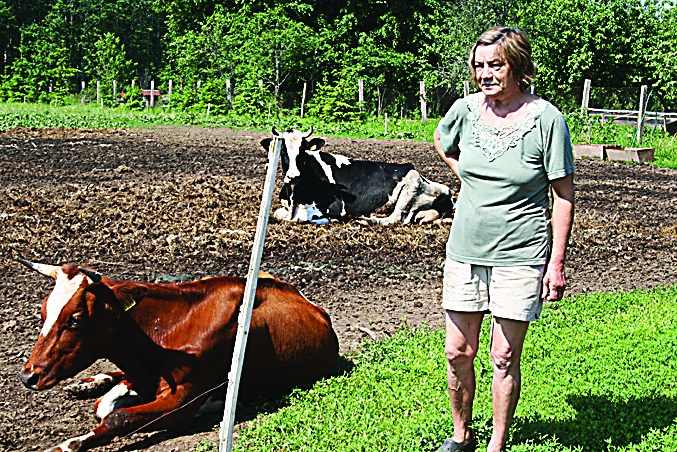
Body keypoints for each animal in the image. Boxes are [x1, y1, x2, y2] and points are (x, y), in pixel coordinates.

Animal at [18, 258, 338, 452]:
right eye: (43, 312)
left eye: (76, 319)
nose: (27, 375)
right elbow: (105, 406)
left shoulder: (182, 401)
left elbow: (117, 416)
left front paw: (70, 443)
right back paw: (87, 383)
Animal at [260, 126, 454, 225]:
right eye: (283, 151)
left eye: (303, 151)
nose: (293, 176)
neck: (296, 196)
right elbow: (279, 213)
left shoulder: (336, 208)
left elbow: (302, 217)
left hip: (410, 187)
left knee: (394, 219)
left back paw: (367, 220)